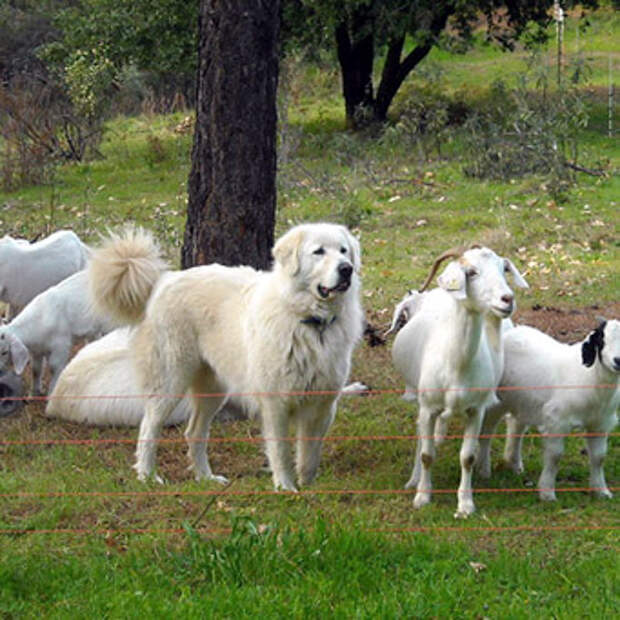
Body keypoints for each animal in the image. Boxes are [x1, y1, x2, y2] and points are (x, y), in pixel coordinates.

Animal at [91, 223, 364, 490]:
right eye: (319, 252)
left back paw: (205, 478)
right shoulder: (275, 403)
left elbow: (309, 456)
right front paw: (286, 489)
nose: (346, 269)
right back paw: (148, 476)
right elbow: (281, 452)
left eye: (343, 251)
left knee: (194, 432)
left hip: (213, 389)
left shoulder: (322, 405)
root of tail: (164, 280)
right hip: (170, 382)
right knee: (149, 427)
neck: (310, 322)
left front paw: (308, 489)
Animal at [392, 245, 528, 516]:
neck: (456, 363)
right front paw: (422, 496)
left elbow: (467, 457)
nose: (507, 299)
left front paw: (465, 504)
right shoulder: (428, 407)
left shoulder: (476, 409)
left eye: (504, 268)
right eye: (471, 272)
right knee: (422, 437)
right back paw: (415, 478)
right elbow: (426, 454)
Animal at [478, 320, 616, 498]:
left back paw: (514, 463)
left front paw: (601, 491)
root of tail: (508, 332)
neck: (590, 376)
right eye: (602, 340)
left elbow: (599, 457)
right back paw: (483, 471)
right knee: (486, 433)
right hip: (497, 401)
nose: (618, 361)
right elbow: (555, 455)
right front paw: (547, 492)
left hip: (524, 400)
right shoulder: (557, 419)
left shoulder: (600, 423)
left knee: (516, 425)